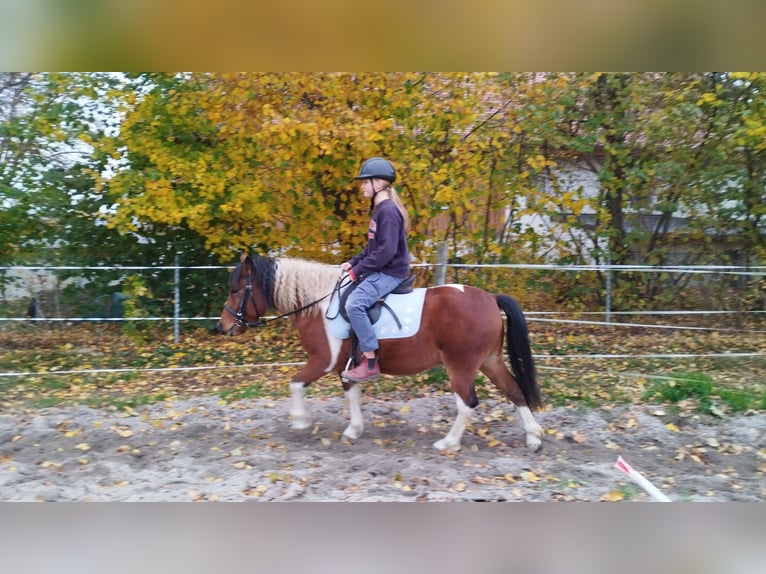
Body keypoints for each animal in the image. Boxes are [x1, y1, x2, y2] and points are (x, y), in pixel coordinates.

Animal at [217, 254, 543, 452]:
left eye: (235, 290)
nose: (223, 326)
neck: (319, 304)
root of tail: (490, 298)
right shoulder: (346, 366)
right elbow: (352, 395)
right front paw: (353, 430)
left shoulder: (324, 361)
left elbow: (295, 384)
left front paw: (300, 421)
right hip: (490, 361)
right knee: (514, 390)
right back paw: (534, 437)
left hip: (460, 366)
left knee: (468, 404)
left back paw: (448, 442)